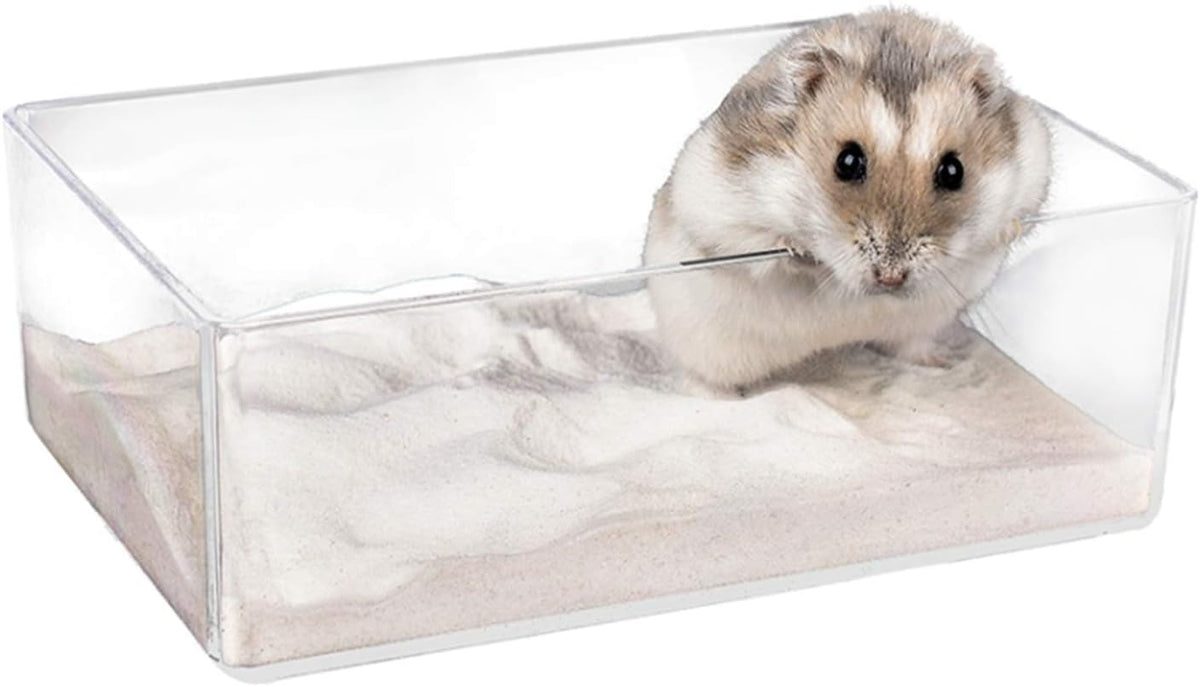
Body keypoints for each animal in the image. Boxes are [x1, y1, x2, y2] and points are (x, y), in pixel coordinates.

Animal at [642, 9, 1051, 391]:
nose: (890, 278)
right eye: (847, 161)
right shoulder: (714, 205)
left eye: (954, 171)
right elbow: (760, 245)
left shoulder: (1032, 161)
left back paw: (942, 362)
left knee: (909, 346)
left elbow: (1018, 213)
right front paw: (800, 250)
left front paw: (1007, 230)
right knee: (701, 377)